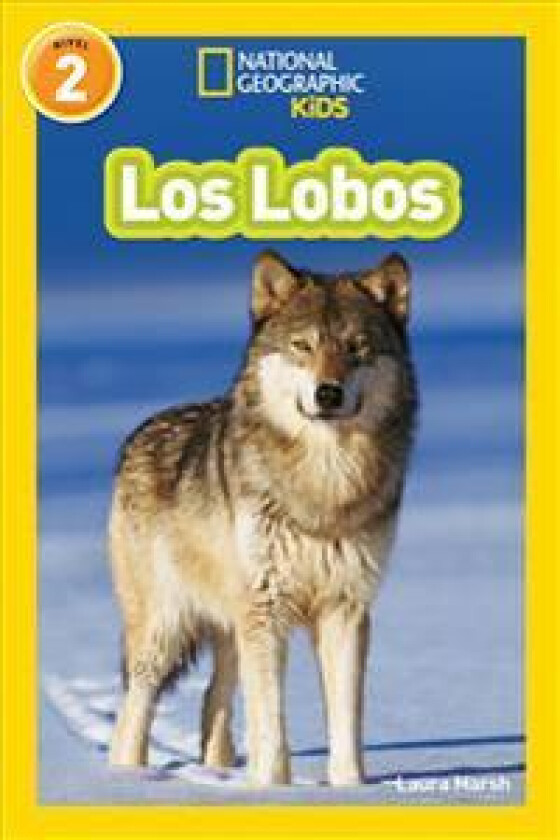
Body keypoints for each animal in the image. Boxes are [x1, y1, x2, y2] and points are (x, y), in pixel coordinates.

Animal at [108, 250, 417, 786]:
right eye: (302, 346)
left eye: (356, 347)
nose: (328, 393)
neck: (323, 482)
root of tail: (140, 432)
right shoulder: (267, 609)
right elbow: (271, 722)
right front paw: (273, 788)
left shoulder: (344, 608)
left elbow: (346, 720)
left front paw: (350, 788)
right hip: (165, 629)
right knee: (134, 710)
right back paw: (128, 779)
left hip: (232, 628)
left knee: (214, 698)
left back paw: (217, 772)